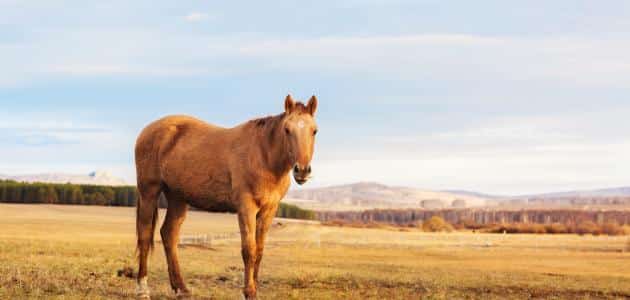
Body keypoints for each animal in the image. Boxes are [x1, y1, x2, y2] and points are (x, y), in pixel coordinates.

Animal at [134, 95, 320, 298]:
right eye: (287, 129)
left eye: (314, 131)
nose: (302, 171)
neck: (263, 155)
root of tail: (148, 130)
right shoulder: (246, 207)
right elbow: (249, 250)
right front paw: (249, 292)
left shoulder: (269, 210)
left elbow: (259, 250)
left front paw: (254, 288)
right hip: (149, 191)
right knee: (145, 235)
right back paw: (143, 288)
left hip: (177, 197)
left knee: (169, 234)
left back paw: (181, 288)